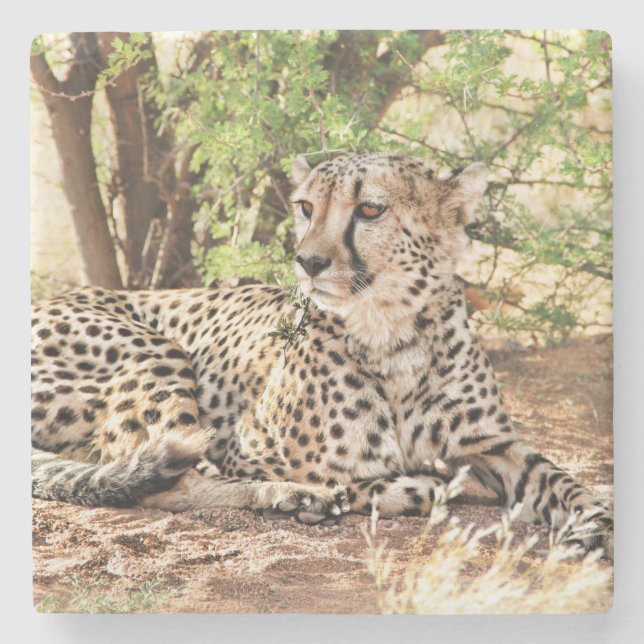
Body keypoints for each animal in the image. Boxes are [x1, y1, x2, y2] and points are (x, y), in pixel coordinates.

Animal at [31, 152, 613, 556]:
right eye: (307, 207)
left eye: (371, 208)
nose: (307, 262)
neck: (393, 332)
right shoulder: (242, 448)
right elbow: (361, 477)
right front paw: (383, 488)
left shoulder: (493, 445)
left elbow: (561, 478)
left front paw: (598, 525)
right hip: (156, 351)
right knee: (156, 479)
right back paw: (298, 498)